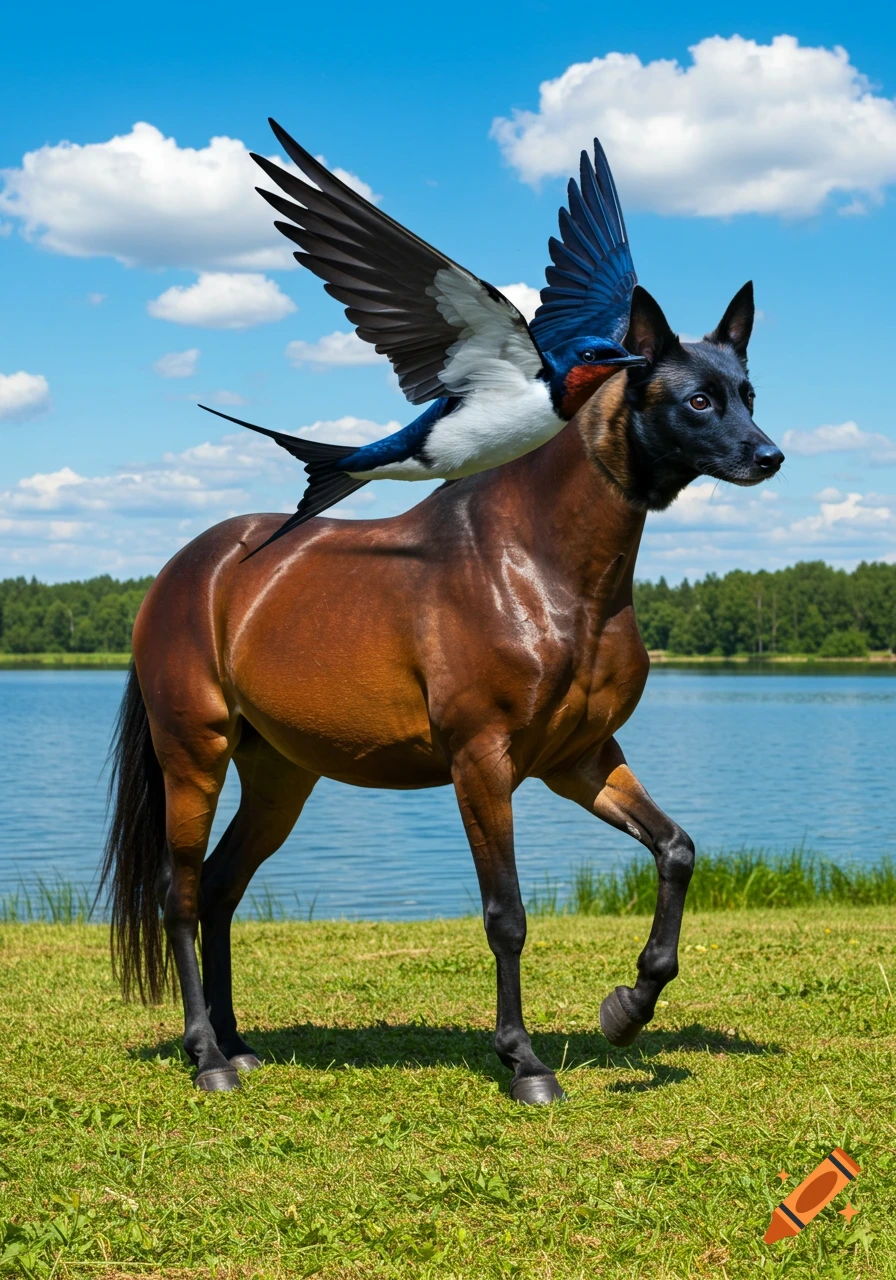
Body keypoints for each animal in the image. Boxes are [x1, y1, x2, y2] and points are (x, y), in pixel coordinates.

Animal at [103, 284, 783, 1102]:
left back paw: (237, 1045)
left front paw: (626, 1007)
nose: (769, 457)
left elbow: (675, 850)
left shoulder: (580, 759)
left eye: (747, 392)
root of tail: (185, 571)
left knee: (221, 887)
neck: (538, 568)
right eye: (698, 400)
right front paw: (524, 1062)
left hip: (279, 774)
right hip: (193, 755)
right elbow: (506, 914)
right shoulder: (480, 762)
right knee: (179, 894)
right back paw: (206, 1057)